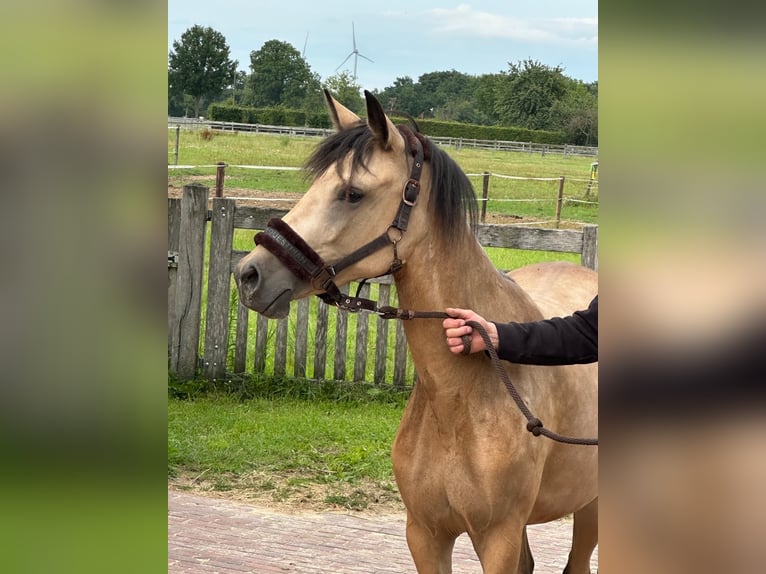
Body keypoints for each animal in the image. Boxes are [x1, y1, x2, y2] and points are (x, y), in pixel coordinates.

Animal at [234, 90, 598, 574]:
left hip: (592, 508)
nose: (249, 275)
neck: (460, 395)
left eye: (352, 193)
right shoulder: (425, 535)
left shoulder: (496, 538)